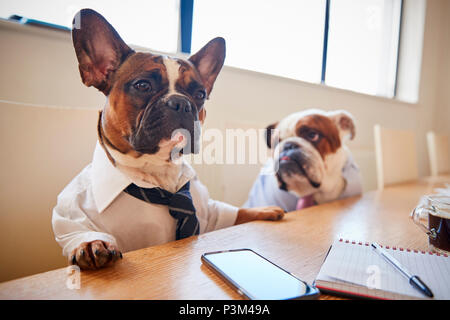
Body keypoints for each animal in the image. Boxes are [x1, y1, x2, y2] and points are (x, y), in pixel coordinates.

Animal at [52, 10, 284, 268]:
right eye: (143, 85)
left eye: (200, 94)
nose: (181, 103)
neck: (158, 172)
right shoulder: (70, 215)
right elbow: (78, 228)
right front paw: (92, 242)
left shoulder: (210, 211)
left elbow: (231, 213)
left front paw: (264, 210)